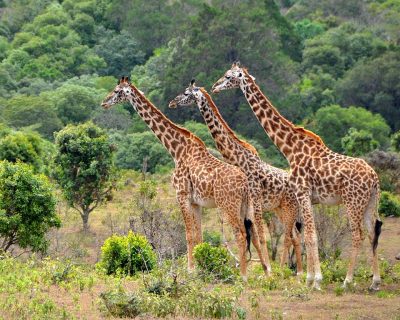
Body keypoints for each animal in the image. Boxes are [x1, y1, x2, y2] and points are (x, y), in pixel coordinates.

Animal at [100, 76, 270, 278]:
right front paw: (201, 268)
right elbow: (199, 236)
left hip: (228, 206)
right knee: (255, 234)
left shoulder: (181, 195)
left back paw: (243, 275)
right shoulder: (196, 202)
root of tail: (245, 184)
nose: (103, 102)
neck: (176, 149)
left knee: (241, 234)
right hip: (247, 206)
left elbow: (188, 235)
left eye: (117, 91)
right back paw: (265, 272)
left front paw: (190, 270)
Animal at [169, 80, 304, 276]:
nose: (172, 103)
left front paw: (267, 271)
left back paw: (285, 270)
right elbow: (253, 236)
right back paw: (298, 271)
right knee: (295, 235)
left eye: (186, 93)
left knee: (288, 236)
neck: (237, 157)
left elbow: (258, 237)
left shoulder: (253, 202)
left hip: (288, 207)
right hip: (281, 208)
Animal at [212, 62, 384, 290]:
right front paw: (309, 278)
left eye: (228, 76)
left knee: (358, 235)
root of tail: (374, 179)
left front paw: (315, 280)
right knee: (372, 232)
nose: (214, 87)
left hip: (352, 201)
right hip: (370, 202)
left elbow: (310, 236)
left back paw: (347, 281)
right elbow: (307, 236)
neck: (290, 149)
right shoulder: (306, 197)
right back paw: (375, 282)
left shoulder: (302, 193)